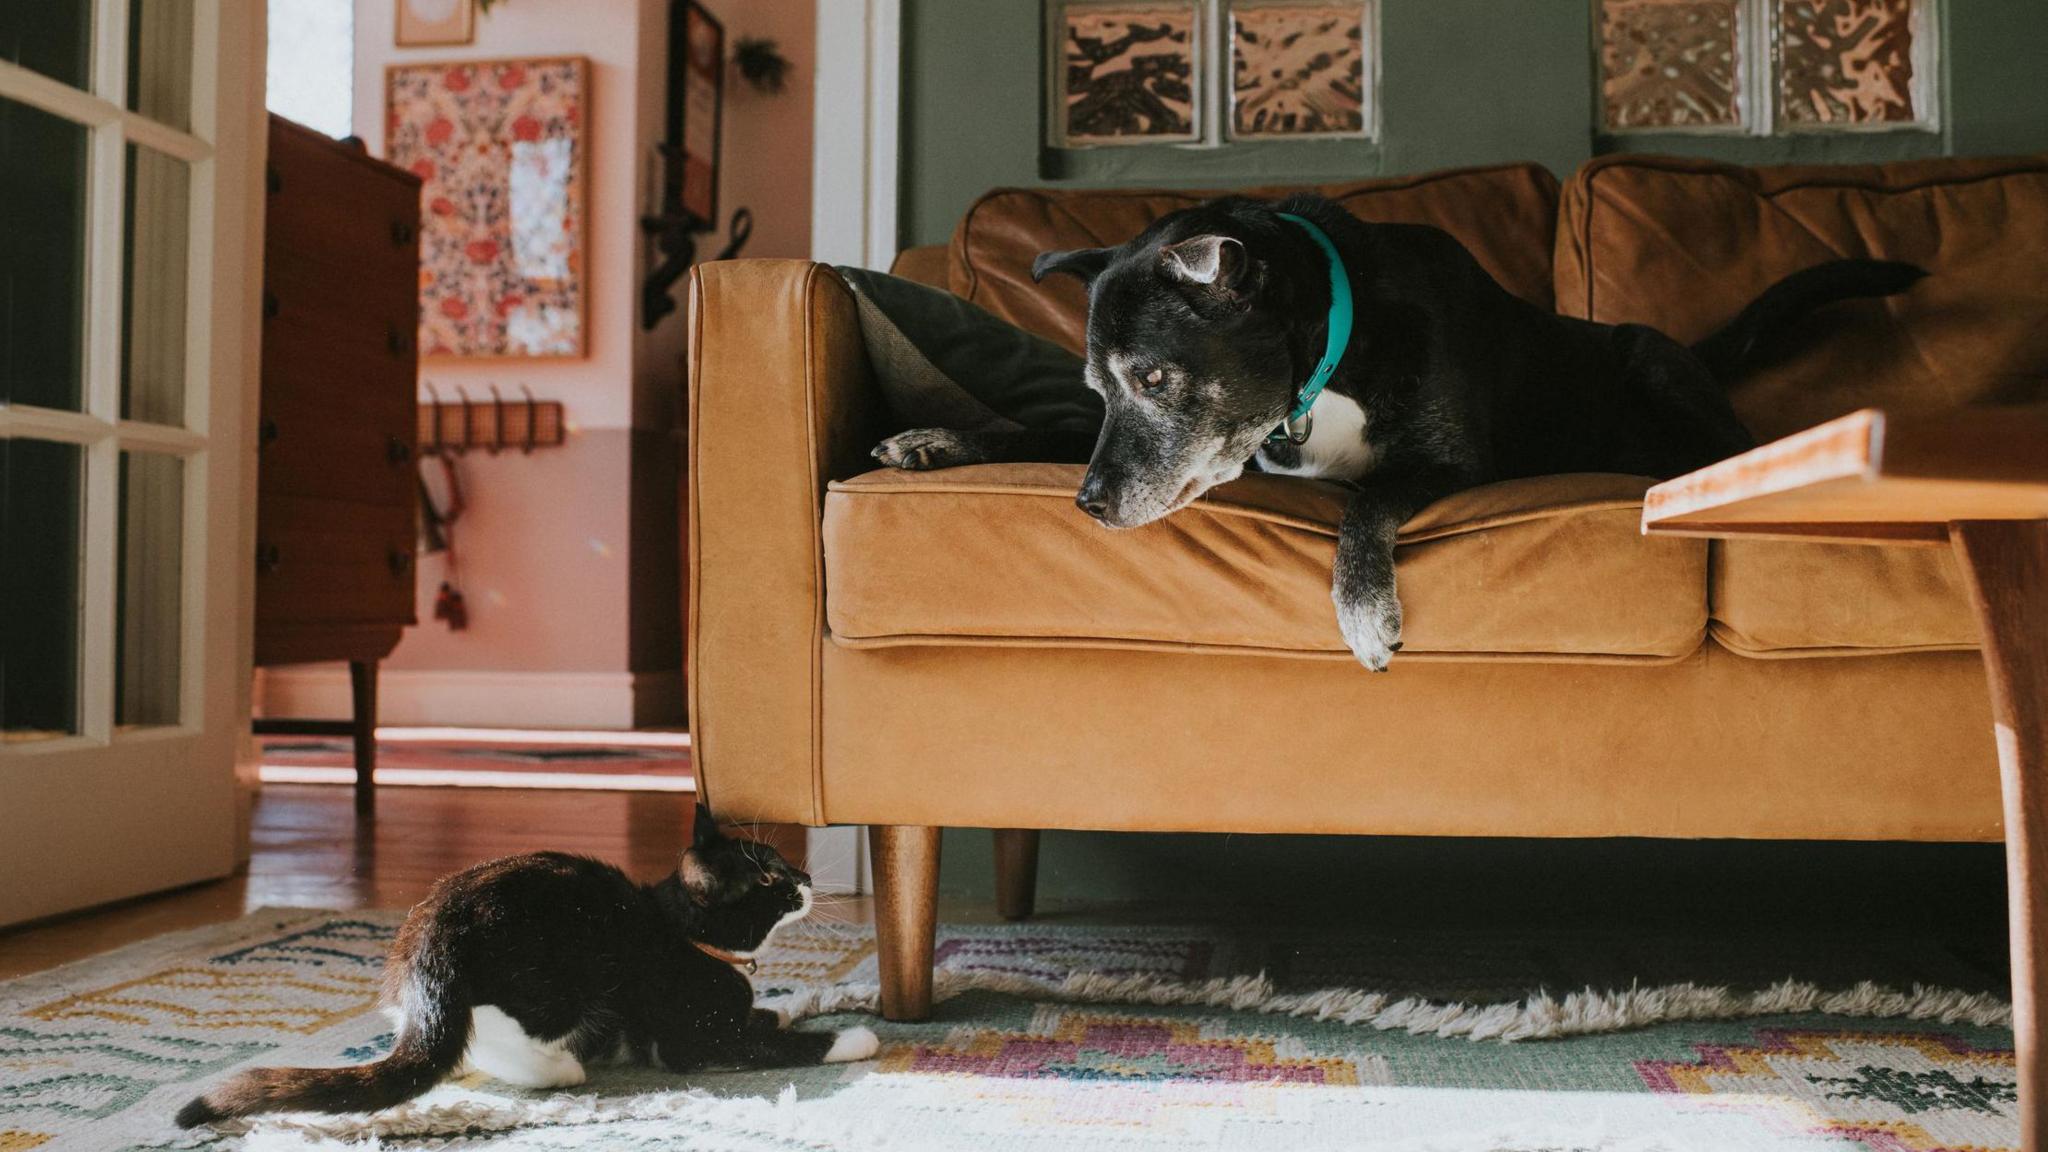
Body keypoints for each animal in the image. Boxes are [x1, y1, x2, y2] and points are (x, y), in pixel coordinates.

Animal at [176, 799, 872, 1123]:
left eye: (778, 859)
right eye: (769, 879)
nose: (807, 877)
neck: (687, 936)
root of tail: (431, 947)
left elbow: (766, 1016)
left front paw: (792, 1005)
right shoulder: (690, 1040)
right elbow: (765, 1043)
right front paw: (854, 1039)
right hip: (561, 978)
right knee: (492, 1039)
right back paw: (557, 1066)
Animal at [868, 192, 1916, 668]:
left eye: (1156, 377)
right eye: (1102, 382)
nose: (1087, 506)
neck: (1333, 351)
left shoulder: (1445, 458)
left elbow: (1364, 501)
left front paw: (1366, 614)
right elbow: (1042, 425)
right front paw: (942, 442)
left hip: (1657, 361)